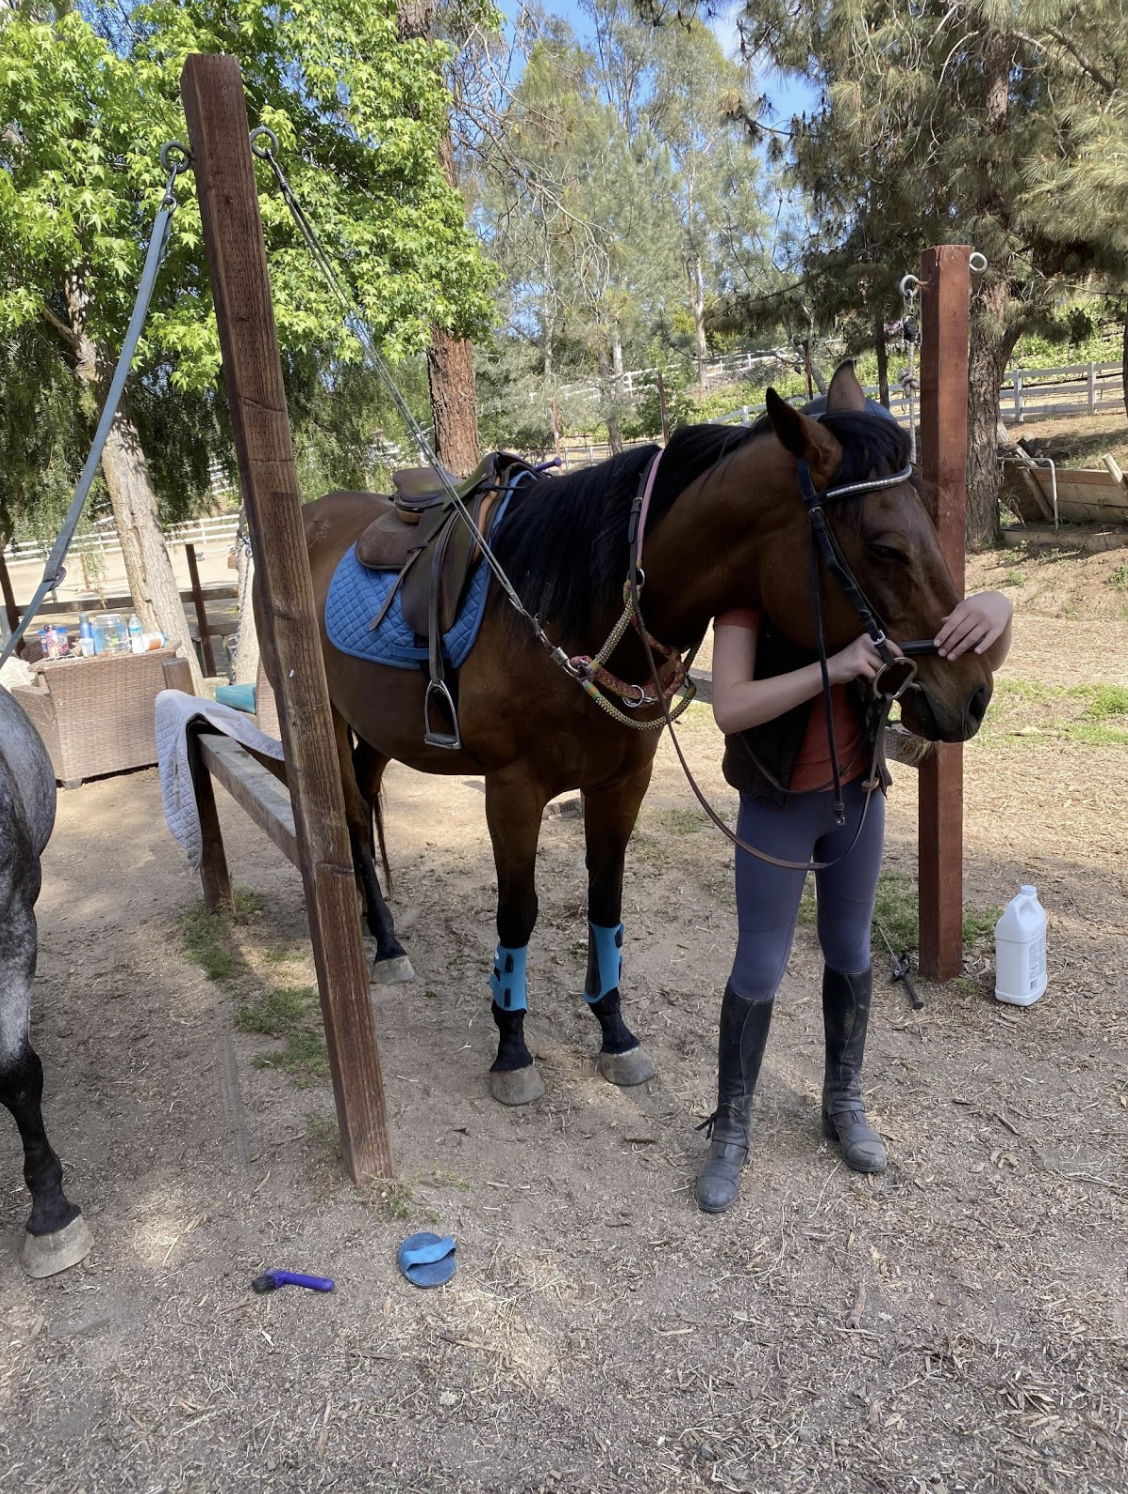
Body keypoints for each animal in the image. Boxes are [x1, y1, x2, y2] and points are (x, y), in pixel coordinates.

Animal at [277, 364, 992, 1099]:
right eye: (885, 547)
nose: (973, 693)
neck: (574, 611)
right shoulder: (512, 791)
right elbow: (518, 913)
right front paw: (512, 1048)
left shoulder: (621, 784)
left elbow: (606, 903)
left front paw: (614, 1032)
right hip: (325, 722)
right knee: (349, 821)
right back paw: (387, 944)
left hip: (375, 733)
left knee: (365, 802)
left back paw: (378, 929)